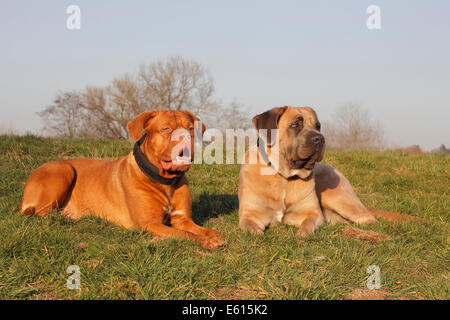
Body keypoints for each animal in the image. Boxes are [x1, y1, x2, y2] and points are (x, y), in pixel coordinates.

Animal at [20, 110, 224, 250]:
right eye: (166, 128)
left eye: (190, 128)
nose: (186, 137)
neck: (165, 181)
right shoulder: (151, 224)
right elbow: (184, 234)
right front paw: (207, 241)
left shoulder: (182, 219)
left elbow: (201, 229)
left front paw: (215, 235)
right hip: (63, 170)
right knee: (42, 213)